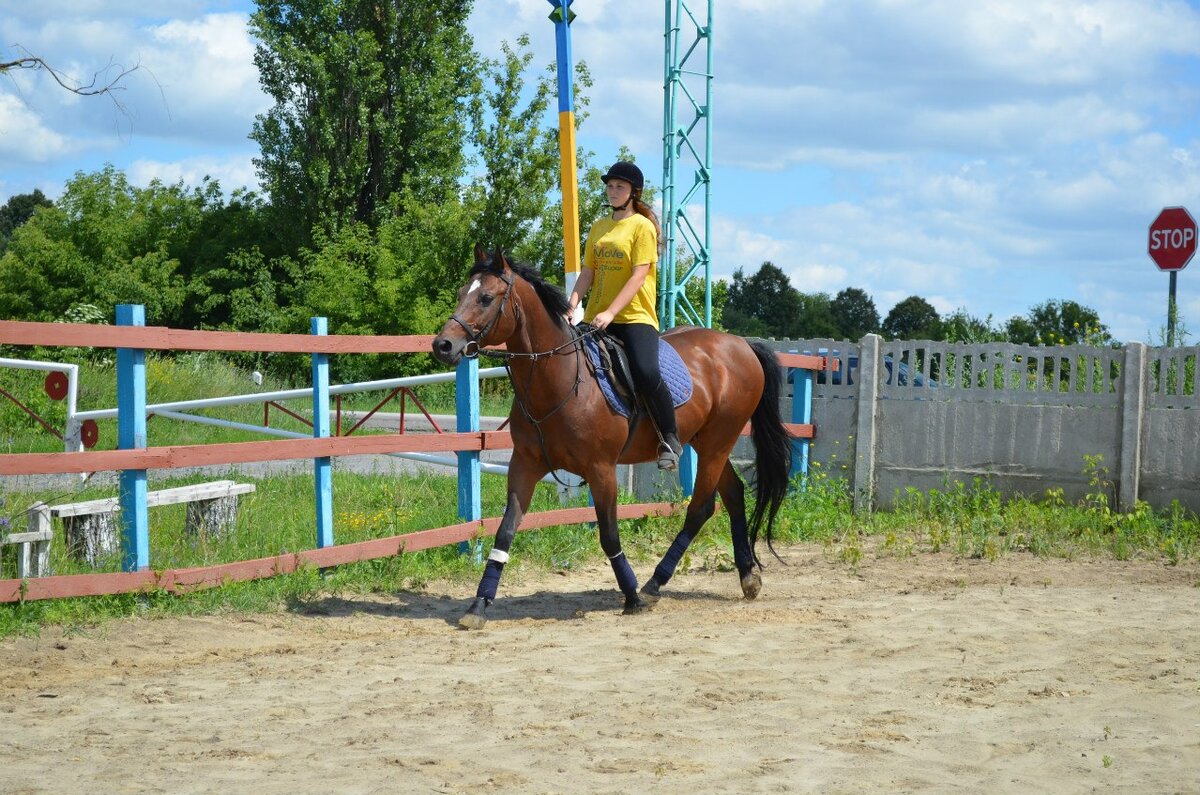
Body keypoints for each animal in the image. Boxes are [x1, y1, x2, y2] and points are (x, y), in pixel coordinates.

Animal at [432, 246, 796, 634]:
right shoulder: (524, 466)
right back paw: (747, 577)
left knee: (701, 508)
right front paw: (479, 605)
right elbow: (505, 532)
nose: (443, 345)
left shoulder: (601, 470)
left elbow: (608, 535)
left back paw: (654, 584)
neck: (558, 380)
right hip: (707, 443)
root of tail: (741, 344)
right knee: (733, 495)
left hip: (717, 442)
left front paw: (632, 597)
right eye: (462, 293)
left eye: (486, 298)